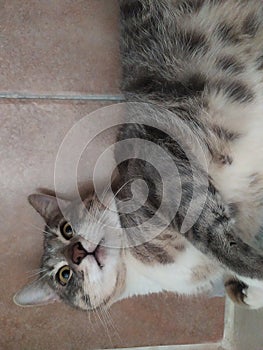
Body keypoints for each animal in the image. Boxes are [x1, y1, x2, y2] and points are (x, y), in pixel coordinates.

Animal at [13, 0, 263, 312]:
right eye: (64, 275)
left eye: (67, 229)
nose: (78, 253)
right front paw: (248, 291)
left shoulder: (162, 163)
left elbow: (211, 235)